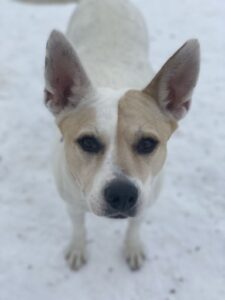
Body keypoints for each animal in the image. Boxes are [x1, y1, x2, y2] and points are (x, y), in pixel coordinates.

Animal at [18, 0, 200, 270]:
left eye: (148, 143)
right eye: (88, 142)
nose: (122, 194)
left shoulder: (146, 200)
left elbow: (135, 226)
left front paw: (133, 247)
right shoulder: (72, 203)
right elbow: (79, 227)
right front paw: (78, 248)